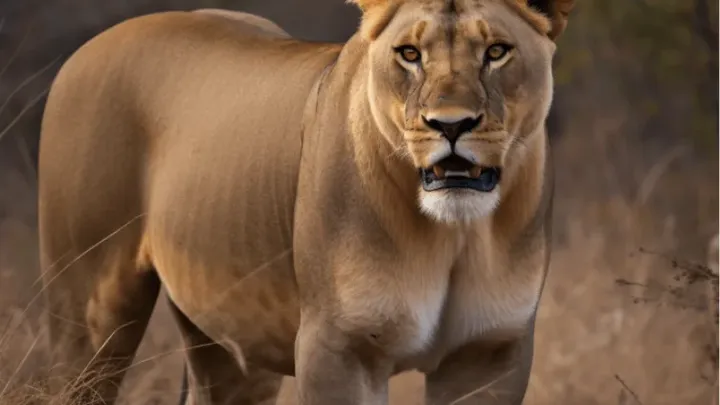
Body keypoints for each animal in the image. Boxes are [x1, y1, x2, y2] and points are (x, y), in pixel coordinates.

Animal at [37, 1, 574, 404]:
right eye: (409, 54)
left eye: (497, 51)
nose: (451, 124)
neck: (453, 234)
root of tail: (87, 49)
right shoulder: (338, 349)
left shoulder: (489, 353)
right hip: (90, 316)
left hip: (231, 342)